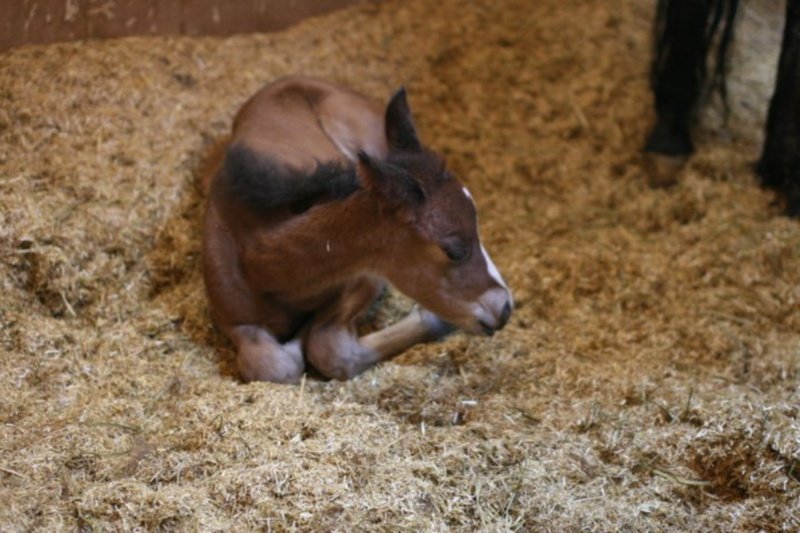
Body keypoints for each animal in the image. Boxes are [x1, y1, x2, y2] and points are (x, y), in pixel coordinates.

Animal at [202, 76, 513, 383]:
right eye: (455, 251)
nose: (505, 307)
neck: (262, 263)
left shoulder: (366, 276)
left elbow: (328, 348)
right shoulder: (235, 321)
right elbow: (273, 366)